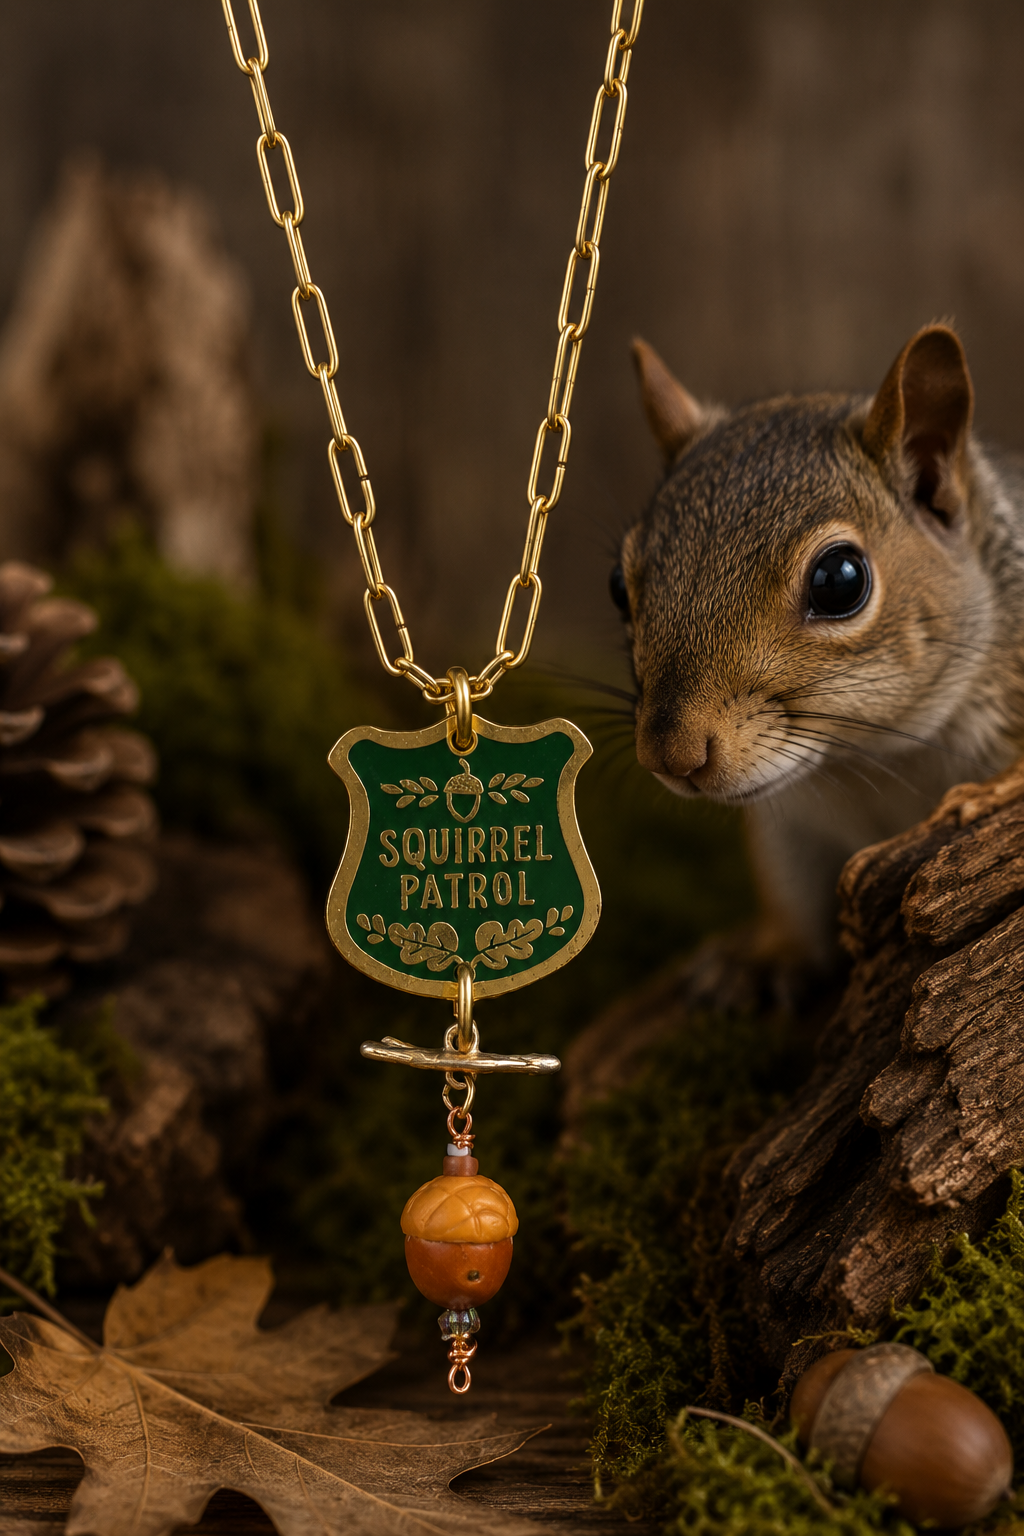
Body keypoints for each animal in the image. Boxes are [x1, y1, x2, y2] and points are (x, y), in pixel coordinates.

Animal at [614, 323, 1024, 967]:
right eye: (616, 587)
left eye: (840, 580)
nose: (671, 755)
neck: (867, 762)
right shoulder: (792, 832)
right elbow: (792, 902)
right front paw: (771, 956)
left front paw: (992, 791)